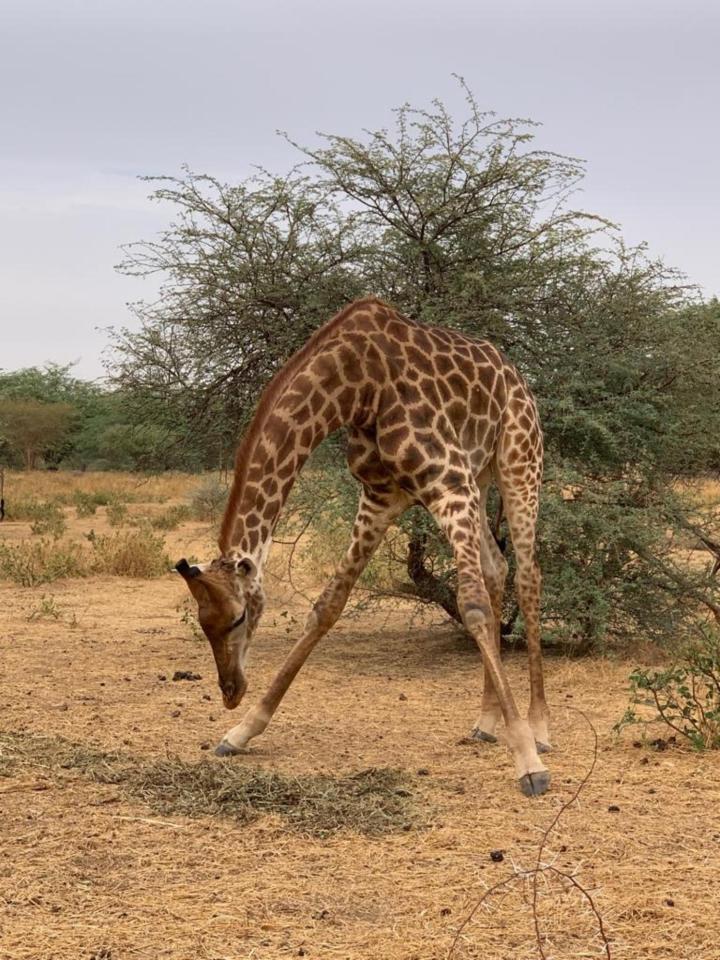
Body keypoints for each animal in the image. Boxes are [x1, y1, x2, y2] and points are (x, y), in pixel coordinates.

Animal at [177, 296, 548, 800]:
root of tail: (517, 377)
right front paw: (241, 732)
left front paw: (528, 762)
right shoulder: (380, 497)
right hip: (483, 474)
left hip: (519, 460)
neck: (356, 386)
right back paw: (487, 722)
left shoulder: (449, 482)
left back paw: (540, 727)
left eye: (238, 617)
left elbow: (471, 607)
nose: (231, 691)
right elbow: (326, 606)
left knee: (527, 575)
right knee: (496, 566)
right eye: (203, 624)